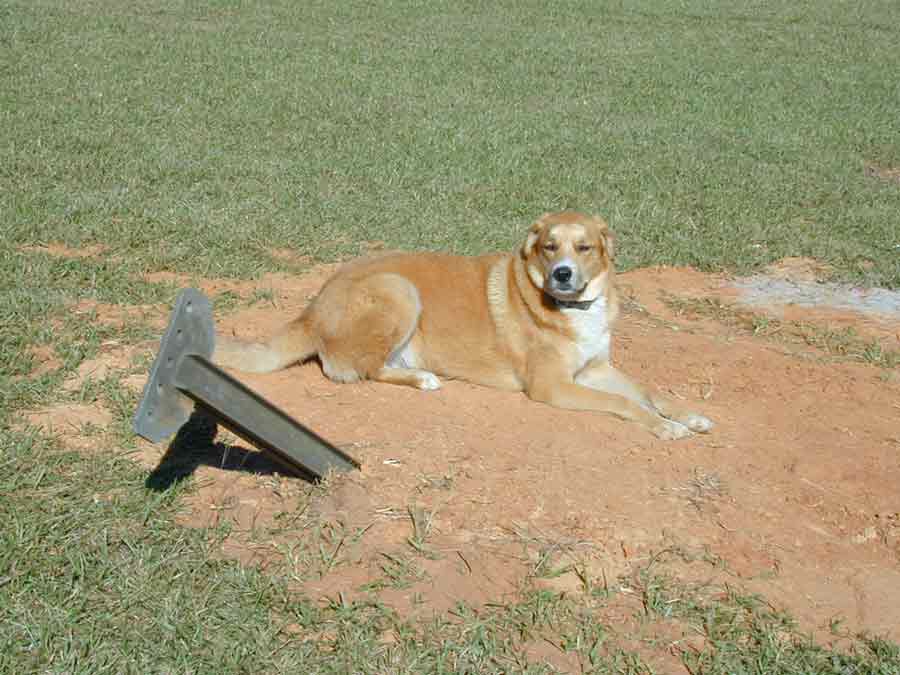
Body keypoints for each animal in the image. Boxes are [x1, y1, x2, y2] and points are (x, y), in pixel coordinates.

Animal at [216, 213, 712, 444]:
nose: (562, 275)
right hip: (399, 289)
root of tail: (313, 305)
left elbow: (649, 391)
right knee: (359, 370)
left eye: (584, 247)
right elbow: (623, 404)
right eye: (549, 246)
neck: (576, 308)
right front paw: (664, 427)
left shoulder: (596, 368)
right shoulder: (552, 386)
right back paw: (422, 378)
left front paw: (687, 415)